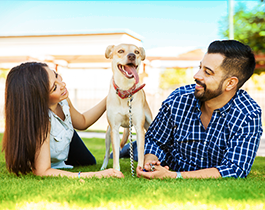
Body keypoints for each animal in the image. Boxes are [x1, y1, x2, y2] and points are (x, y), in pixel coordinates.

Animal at [100, 43, 152, 171]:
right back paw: (103, 167)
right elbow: (115, 153)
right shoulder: (114, 128)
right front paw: (115, 170)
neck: (125, 91)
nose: (132, 56)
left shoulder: (139, 128)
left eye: (137, 52)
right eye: (120, 51)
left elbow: (141, 150)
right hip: (107, 133)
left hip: (149, 123)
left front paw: (140, 169)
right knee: (107, 153)